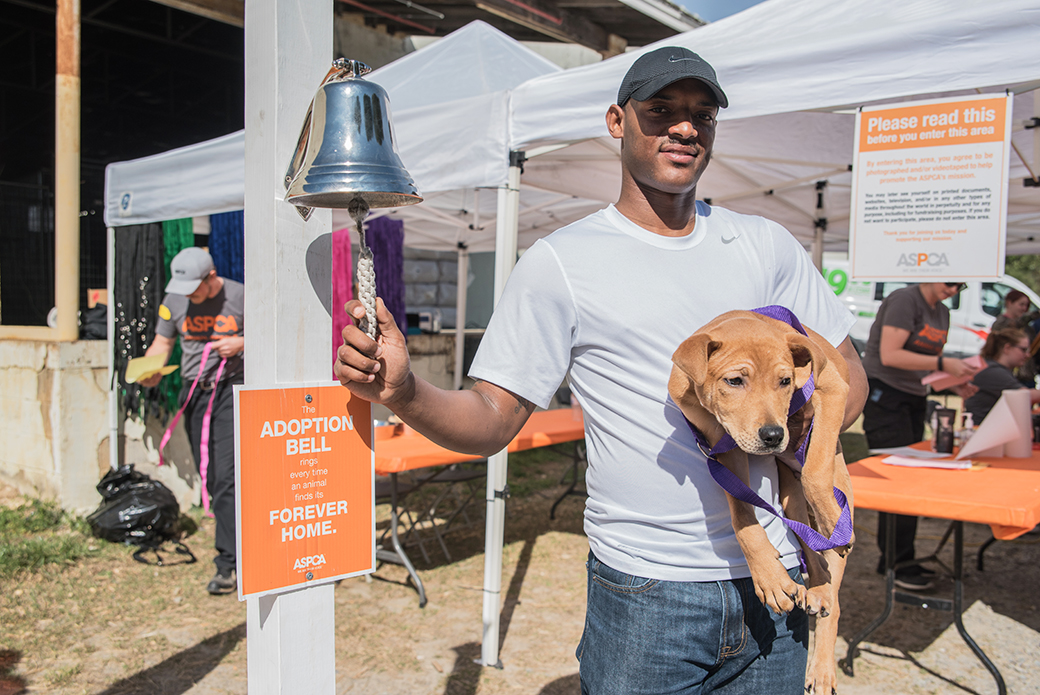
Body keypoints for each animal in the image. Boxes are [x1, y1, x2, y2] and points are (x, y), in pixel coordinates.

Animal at [669, 310, 856, 695]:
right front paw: (768, 575)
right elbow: (742, 514)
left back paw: (822, 666)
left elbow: (815, 467)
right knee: (811, 547)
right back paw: (816, 588)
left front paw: (831, 518)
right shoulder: (724, 444)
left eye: (785, 381)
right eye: (735, 381)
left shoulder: (833, 391)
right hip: (790, 498)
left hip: (840, 492)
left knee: (835, 590)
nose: (773, 436)